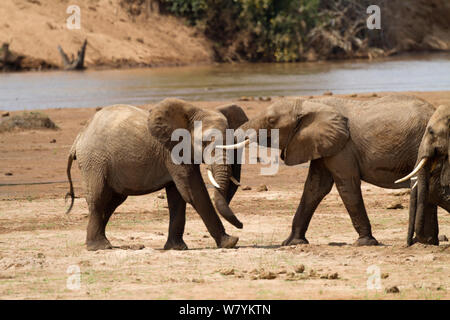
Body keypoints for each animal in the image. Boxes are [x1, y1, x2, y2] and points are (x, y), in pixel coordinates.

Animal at [66, 99, 248, 251]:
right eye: (204, 143)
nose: (241, 225)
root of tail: (80, 136)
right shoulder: (172, 151)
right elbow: (193, 191)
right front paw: (230, 242)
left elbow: (178, 197)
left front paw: (176, 248)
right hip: (94, 161)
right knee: (99, 198)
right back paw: (99, 247)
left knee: (113, 201)